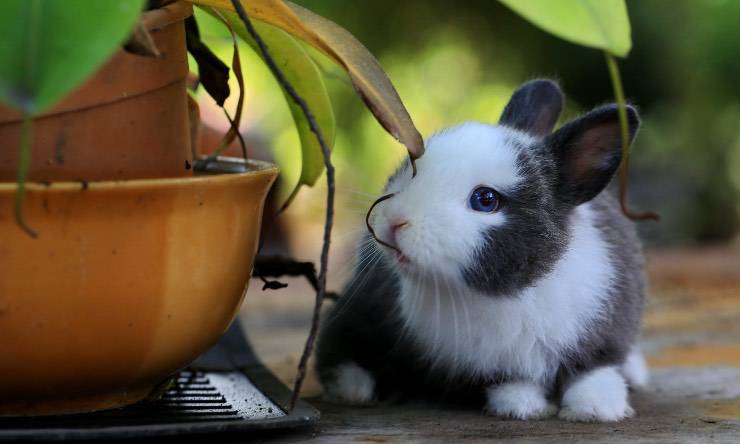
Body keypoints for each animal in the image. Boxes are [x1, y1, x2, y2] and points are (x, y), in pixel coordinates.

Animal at [315, 79, 649, 422]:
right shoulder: (493, 367)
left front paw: (596, 409)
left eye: (485, 200)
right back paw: (354, 390)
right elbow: (511, 382)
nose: (394, 220)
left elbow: (594, 372)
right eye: (411, 166)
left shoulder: (605, 333)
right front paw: (523, 407)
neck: (509, 294)